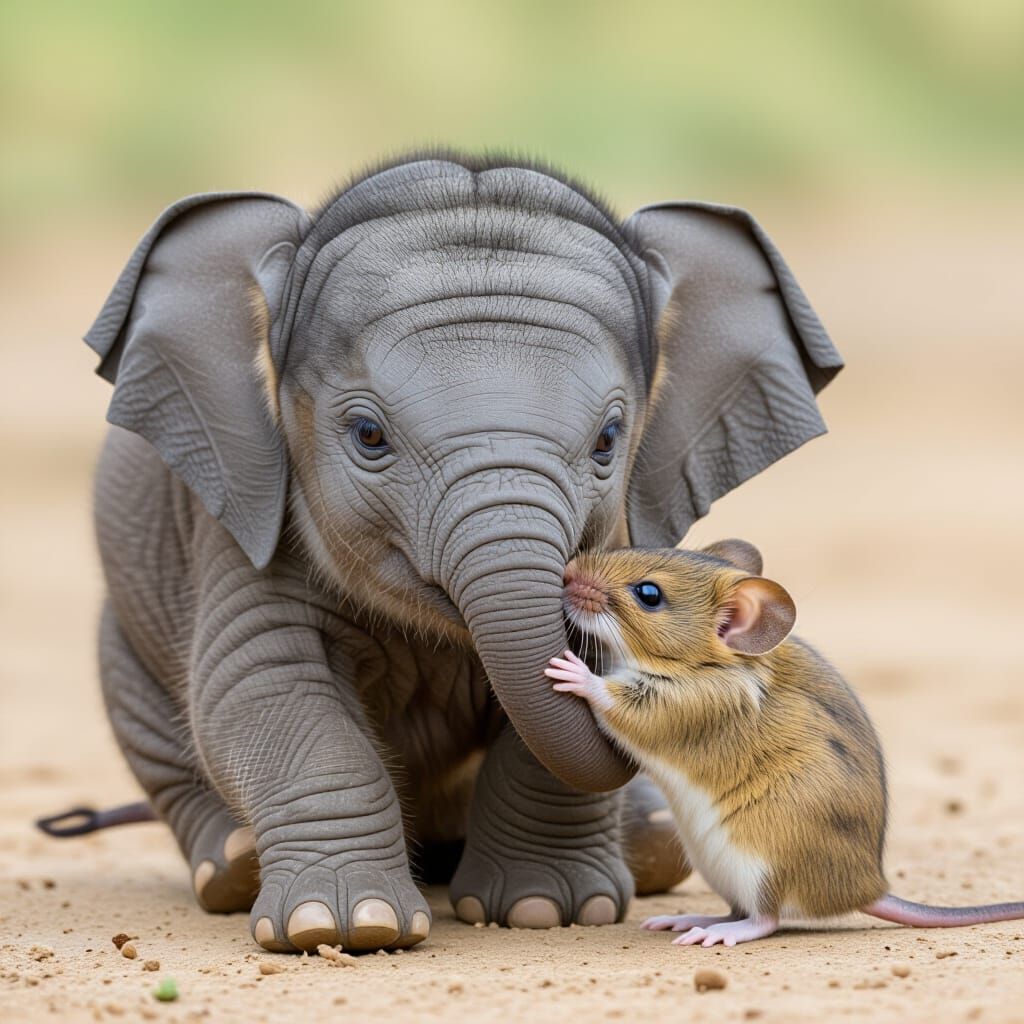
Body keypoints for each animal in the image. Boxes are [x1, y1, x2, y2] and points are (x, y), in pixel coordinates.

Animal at [83, 152, 841, 953]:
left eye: (609, 440)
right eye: (368, 435)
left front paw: (550, 911)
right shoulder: (245, 517)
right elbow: (267, 687)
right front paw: (349, 927)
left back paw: (650, 844)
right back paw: (232, 868)